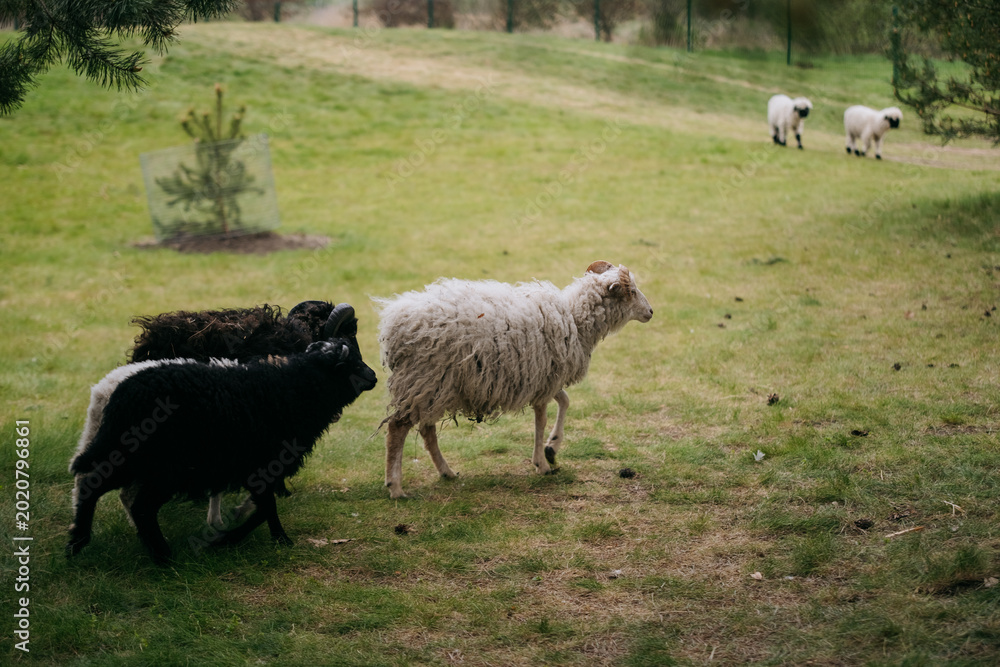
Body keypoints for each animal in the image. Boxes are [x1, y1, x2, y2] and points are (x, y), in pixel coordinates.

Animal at [66, 310, 377, 564]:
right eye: (354, 362)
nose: (374, 377)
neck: (289, 387)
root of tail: (120, 392)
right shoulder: (261, 464)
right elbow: (264, 508)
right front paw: (230, 539)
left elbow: (264, 507)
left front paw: (270, 537)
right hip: (163, 466)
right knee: (132, 502)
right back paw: (161, 555)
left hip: (128, 456)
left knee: (96, 484)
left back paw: (79, 542)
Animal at [374, 260, 653, 499]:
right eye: (632, 291)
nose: (651, 312)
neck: (574, 319)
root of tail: (392, 324)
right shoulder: (543, 379)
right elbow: (541, 419)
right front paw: (542, 463)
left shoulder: (546, 378)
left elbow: (565, 401)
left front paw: (552, 448)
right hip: (424, 378)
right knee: (398, 427)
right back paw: (395, 486)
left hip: (434, 385)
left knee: (426, 428)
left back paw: (446, 471)